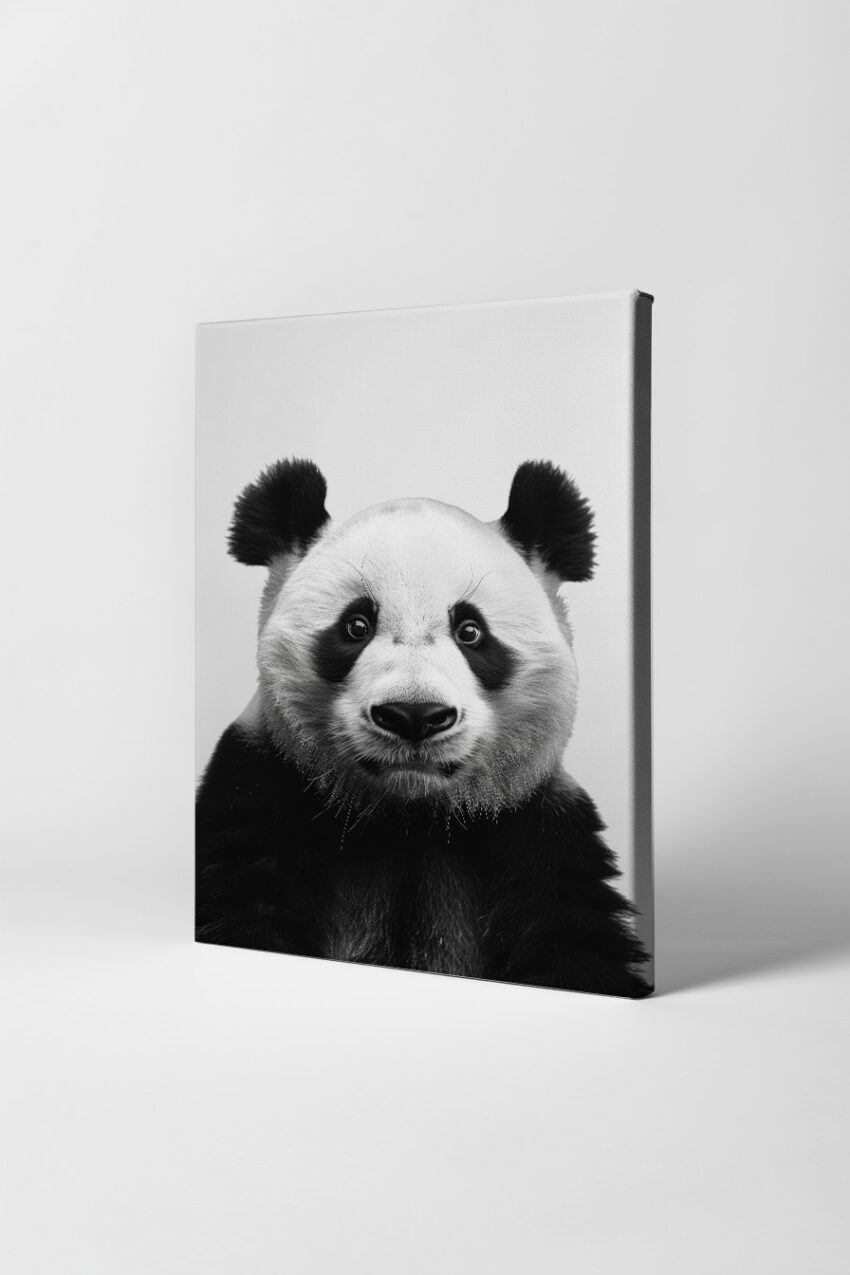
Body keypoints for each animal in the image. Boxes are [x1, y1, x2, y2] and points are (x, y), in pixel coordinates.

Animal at [196, 457, 651, 998]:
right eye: (355, 625)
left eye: (471, 631)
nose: (414, 715)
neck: (408, 821)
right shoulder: (259, 792)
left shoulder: (543, 833)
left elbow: (576, 941)